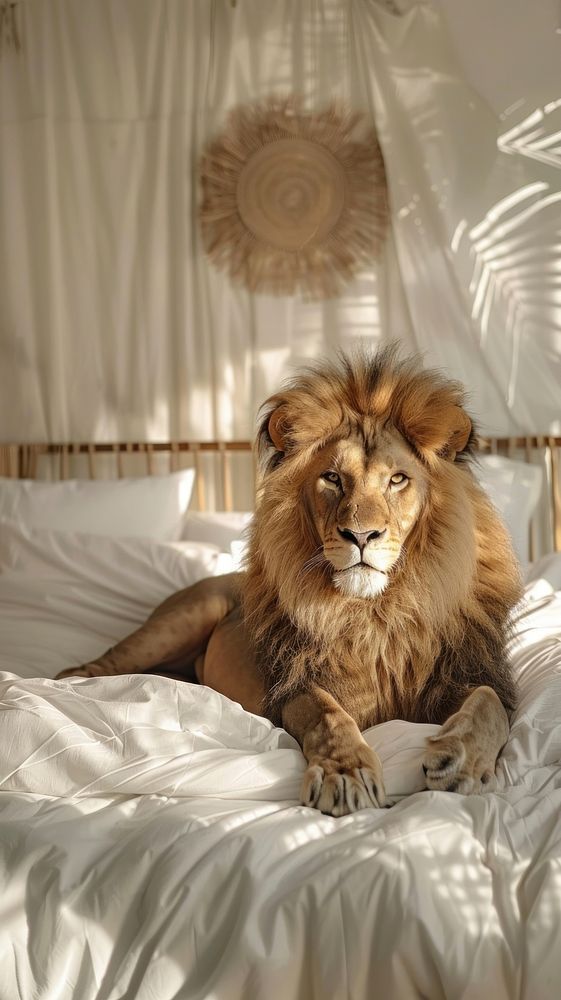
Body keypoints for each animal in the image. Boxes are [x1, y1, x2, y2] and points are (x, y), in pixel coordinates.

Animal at [55, 348, 520, 816]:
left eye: (397, 479)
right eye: (332, 478)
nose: (361, 536)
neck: (376, 613)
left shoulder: (463, 674)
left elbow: (490, 704)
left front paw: (462, 760)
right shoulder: (297, 684)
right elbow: (328, 716)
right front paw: (345, 774)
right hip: (187, 615)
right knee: (87, 669)